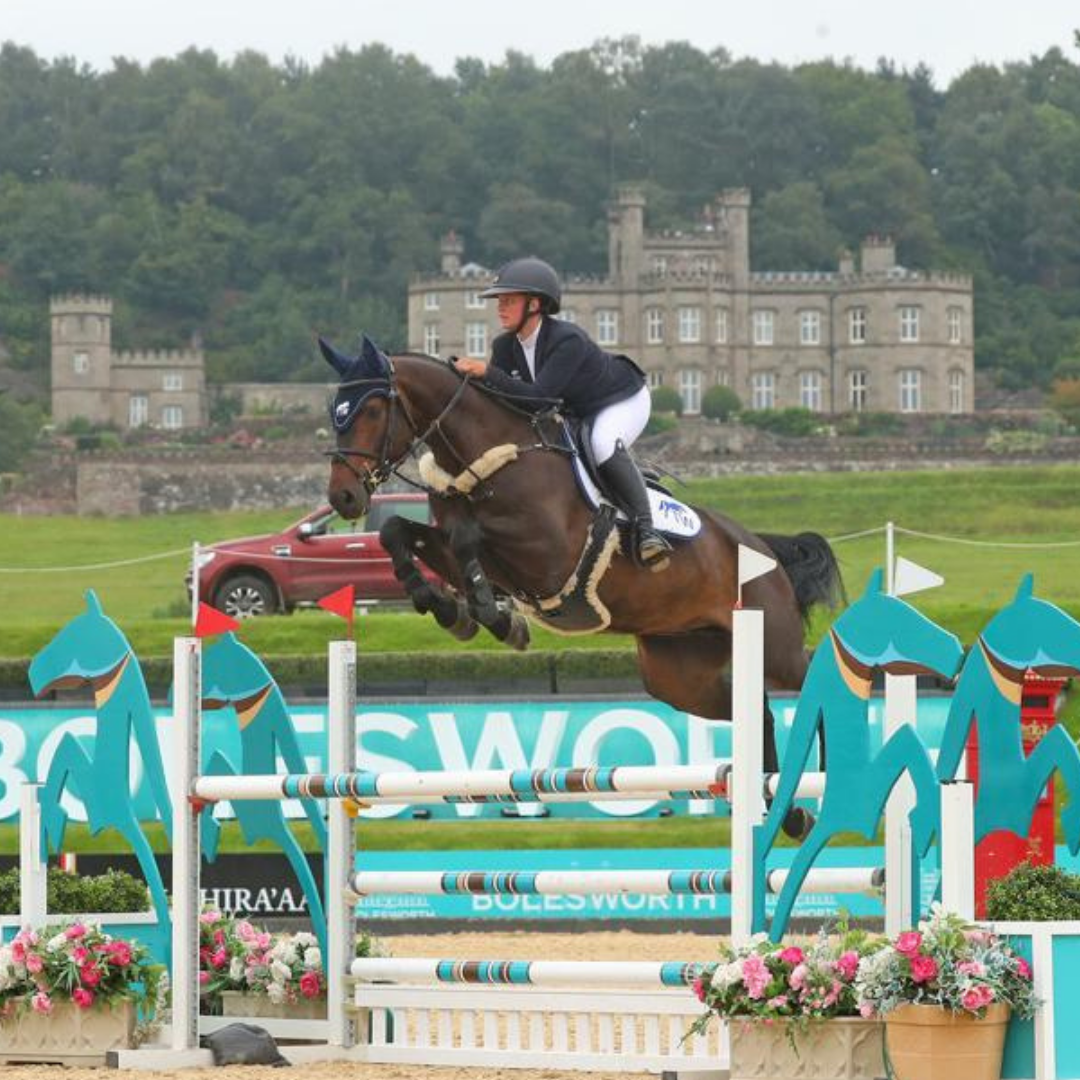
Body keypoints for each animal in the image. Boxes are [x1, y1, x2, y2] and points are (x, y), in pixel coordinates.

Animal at [322, 336, 844, 818]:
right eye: (335, 411)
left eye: (372, 409)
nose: (343, 497)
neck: (489, 458)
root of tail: (763, 548)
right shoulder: (461, 549)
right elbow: (397, 531)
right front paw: (454, 611)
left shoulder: (547, 554)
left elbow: (469, 536)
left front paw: (492, 615)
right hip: (679, 672)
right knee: (756, 710)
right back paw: (785, 813)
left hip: (772, 644)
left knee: (810, 675)